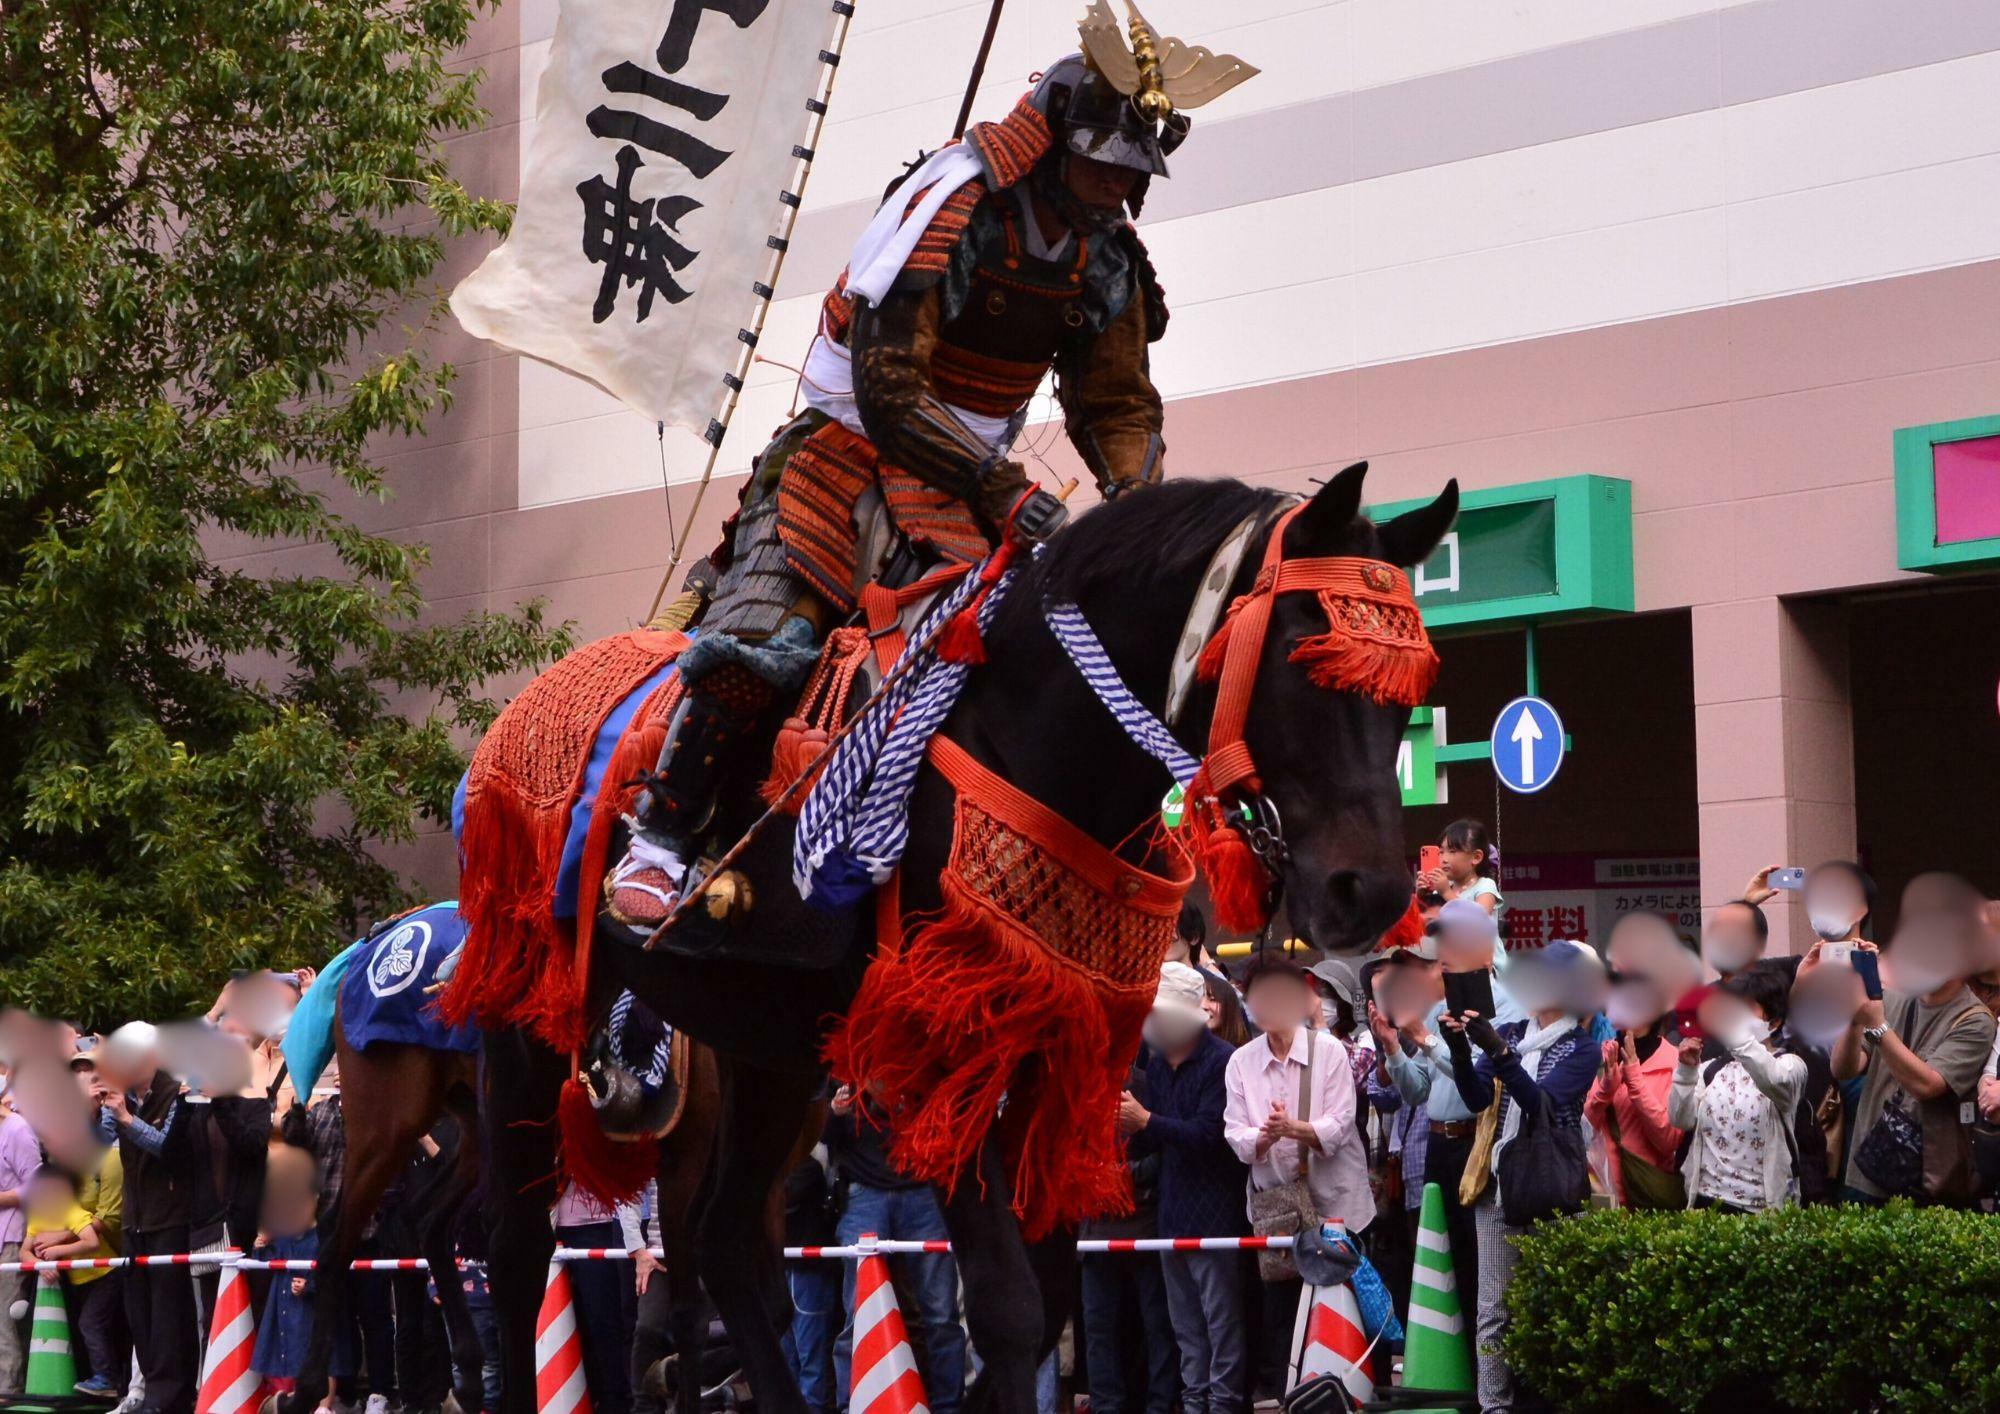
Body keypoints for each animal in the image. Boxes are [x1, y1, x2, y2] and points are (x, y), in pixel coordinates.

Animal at [476, 468, 1464, 1414]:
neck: (1038, 748)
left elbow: (1050, 1292)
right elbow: (1009, 1302)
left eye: (1408, 693)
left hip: (767, 1046)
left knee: (724, 1245)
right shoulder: (940, 1050)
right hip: (527, 1012)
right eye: (1306, 659)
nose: (1371, 891)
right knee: (518, 1254)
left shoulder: (1060, 1054)